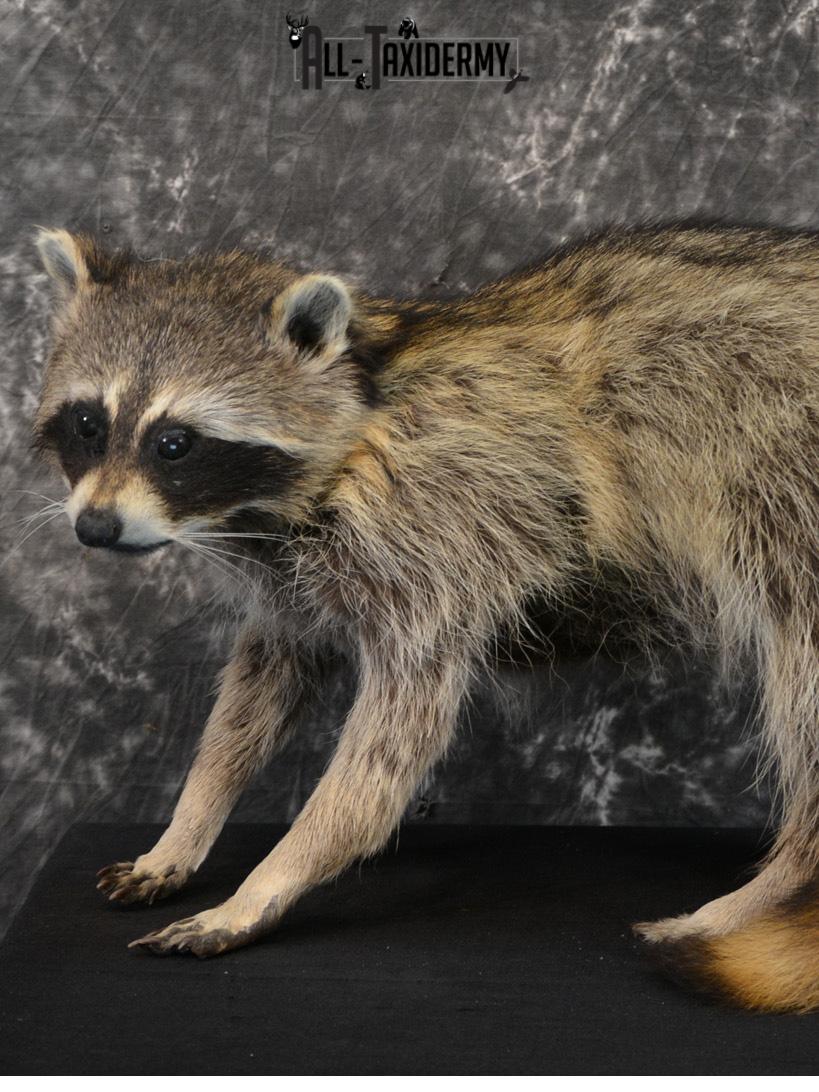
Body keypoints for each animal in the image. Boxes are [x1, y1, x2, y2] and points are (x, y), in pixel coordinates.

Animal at [32, 223, 819, 1012]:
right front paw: (188, 824)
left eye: (175, 443)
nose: (94, 526)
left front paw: (269, 879)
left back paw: (771, 885)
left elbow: (393, 739)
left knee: (799, 672)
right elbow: (258, 692)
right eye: (88, 424)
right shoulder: (289, 582)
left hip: (782, 484)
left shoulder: (437, 534)